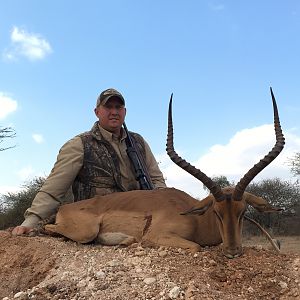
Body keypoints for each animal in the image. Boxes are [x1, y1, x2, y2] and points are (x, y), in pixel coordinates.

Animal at [45, 87, 284, 258]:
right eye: (216, 212)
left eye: (243, 211)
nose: (233, 252)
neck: (195, 217)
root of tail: (64, 207)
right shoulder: (160, 235)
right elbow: (196, 247)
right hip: (87, 230)